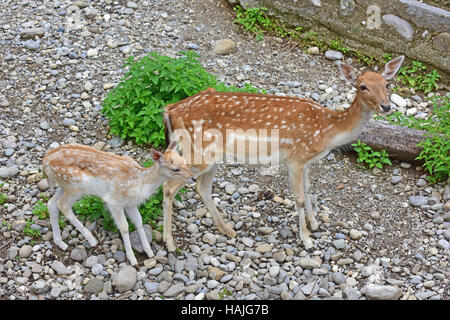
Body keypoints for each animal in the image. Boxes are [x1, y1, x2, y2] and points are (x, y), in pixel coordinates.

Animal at [42, 142, 195, 264]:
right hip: (75, 187)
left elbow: (139, 221)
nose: (192, 178)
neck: (140, 183)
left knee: (51, 203)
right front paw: (132, 259)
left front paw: (149, 252)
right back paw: (92, 240)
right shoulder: (114, 201)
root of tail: (45, 162)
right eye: (175, 169)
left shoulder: (130, 203)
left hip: (64, 186)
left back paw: (60, 243)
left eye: (184, 161)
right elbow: (124, 227)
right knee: (63, 205)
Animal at [162, 55, 404, 251]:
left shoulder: (307, 161)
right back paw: (170, 243)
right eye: (362, 86)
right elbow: (298, 197)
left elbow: (308, 190)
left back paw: (227, 230)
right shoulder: (295, 157)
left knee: (202, 187)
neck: (327, 130)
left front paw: (315, 223)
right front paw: (306, 239)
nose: (386, 106)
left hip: (210, 156)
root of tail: (171, 110)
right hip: (199, 152)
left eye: (386, 83)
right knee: (169, 186)